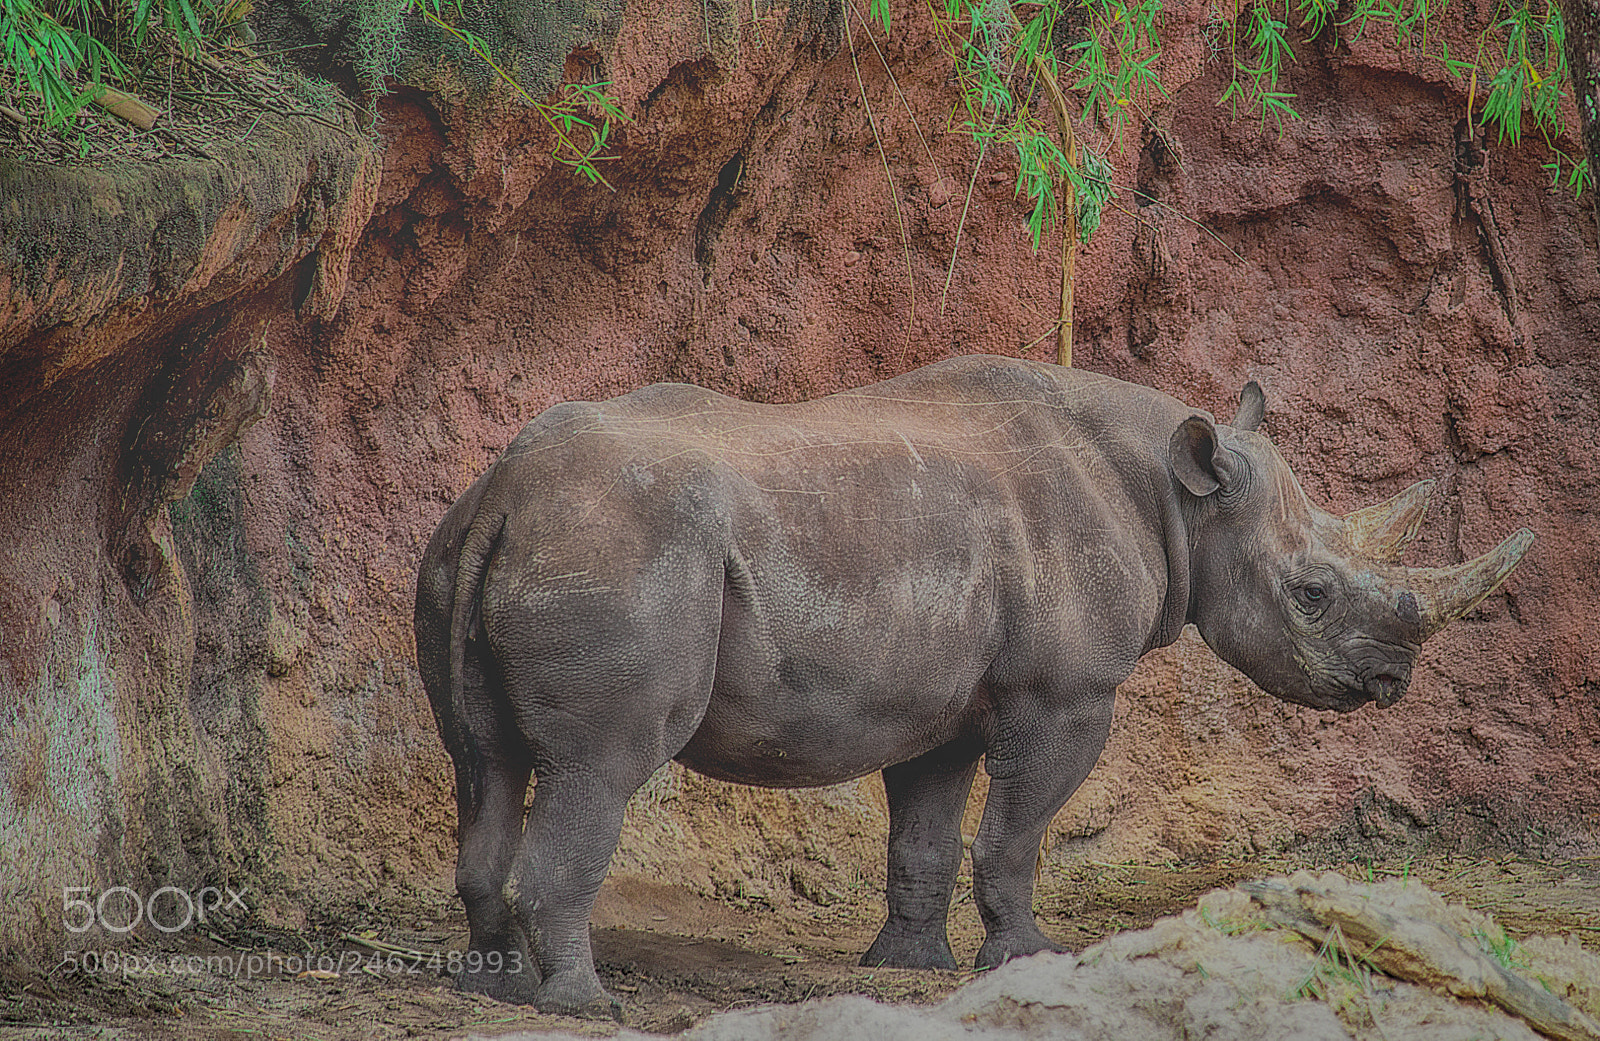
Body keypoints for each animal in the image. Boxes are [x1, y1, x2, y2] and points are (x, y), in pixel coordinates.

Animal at [414, 354, 1532, 1016]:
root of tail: (506, 493)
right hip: (624, 553)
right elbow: (1016, 830)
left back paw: (497, 985)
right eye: (1311, 593)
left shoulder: (937, 701)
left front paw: (910, 968)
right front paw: (1027, 956)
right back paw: (582, 1007)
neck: (1178, 496)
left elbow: (925, 832)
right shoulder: (1067, 692)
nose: (1392, 679)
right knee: (596, 766)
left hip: (470, 549)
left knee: (483, 760)